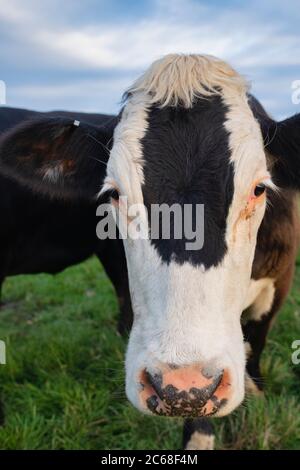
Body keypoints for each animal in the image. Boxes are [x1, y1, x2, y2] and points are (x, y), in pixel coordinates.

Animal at [0, 53, 300, 450]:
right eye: (113, 193)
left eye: (259, 188)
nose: (183, 385)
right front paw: (198, 434)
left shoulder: (280, 281)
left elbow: (258, 343)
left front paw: (258, 395)